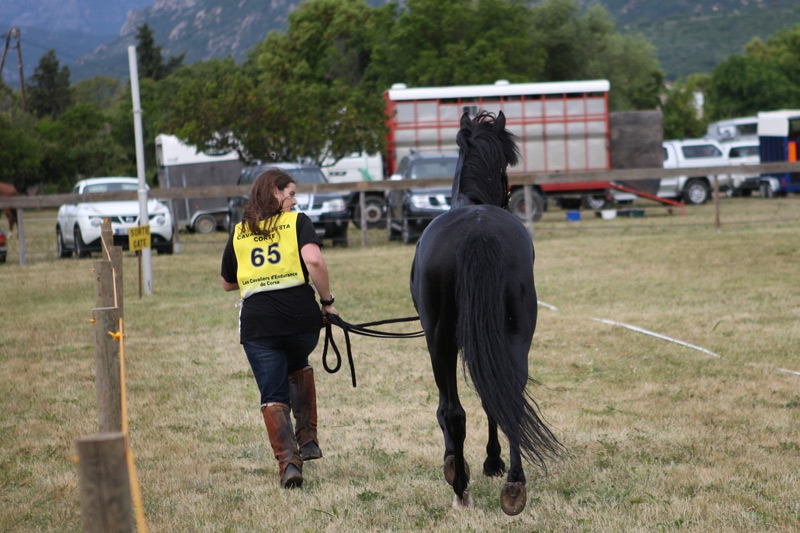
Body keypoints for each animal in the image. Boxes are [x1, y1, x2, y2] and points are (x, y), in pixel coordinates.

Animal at [410, 110, 563, 515]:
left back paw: (463, 487)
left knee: (455, 410)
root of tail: (477, 232)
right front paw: (491, 463)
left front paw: (460, 464)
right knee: (507, 395)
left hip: (440, 340)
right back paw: (514, 485)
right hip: (515, 331)